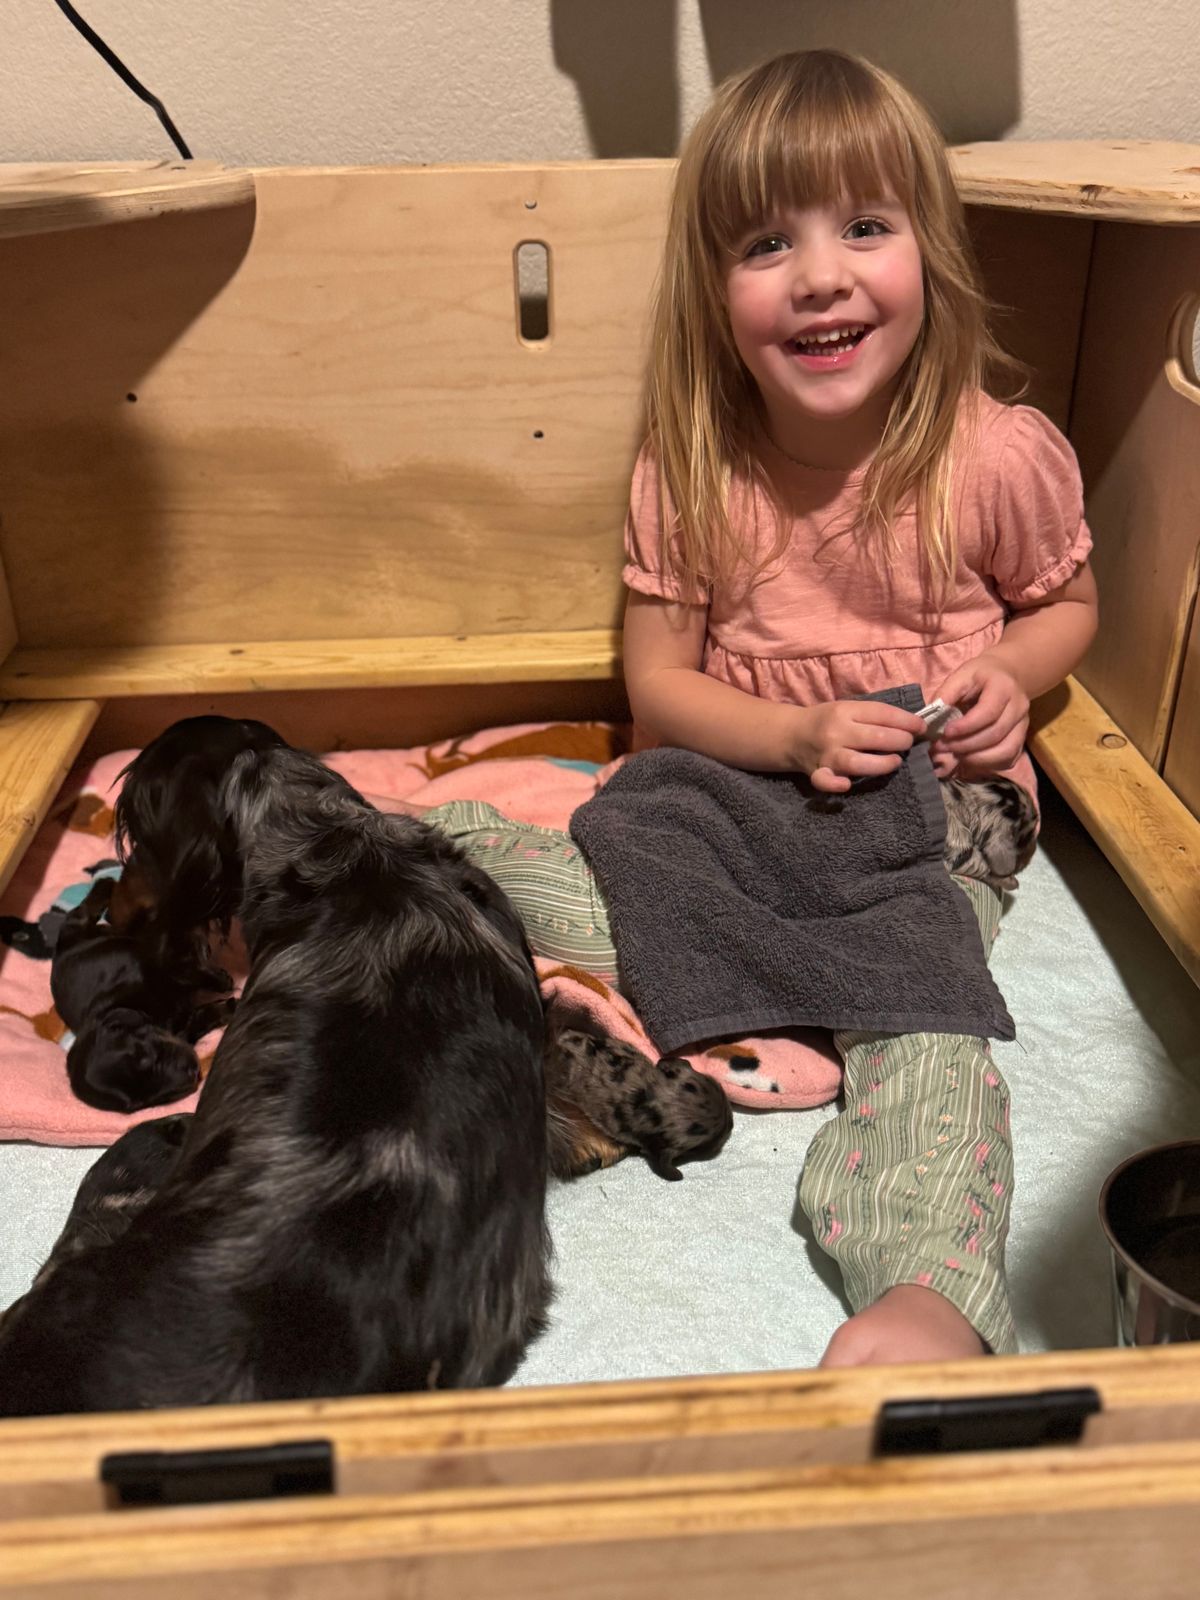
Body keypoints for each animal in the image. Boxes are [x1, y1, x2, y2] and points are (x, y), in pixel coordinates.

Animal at [50, 876, 234, 1112]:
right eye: (145, 1102)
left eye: (150, 1057)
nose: (193, 1075)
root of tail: (60, 952)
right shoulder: (181, 1032)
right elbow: (200, 1017)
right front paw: (229, 1006)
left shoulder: (154, 965)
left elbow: (186, 971)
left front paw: (223, 982)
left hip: (78, 930)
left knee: (81, 913)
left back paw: (105, 883)